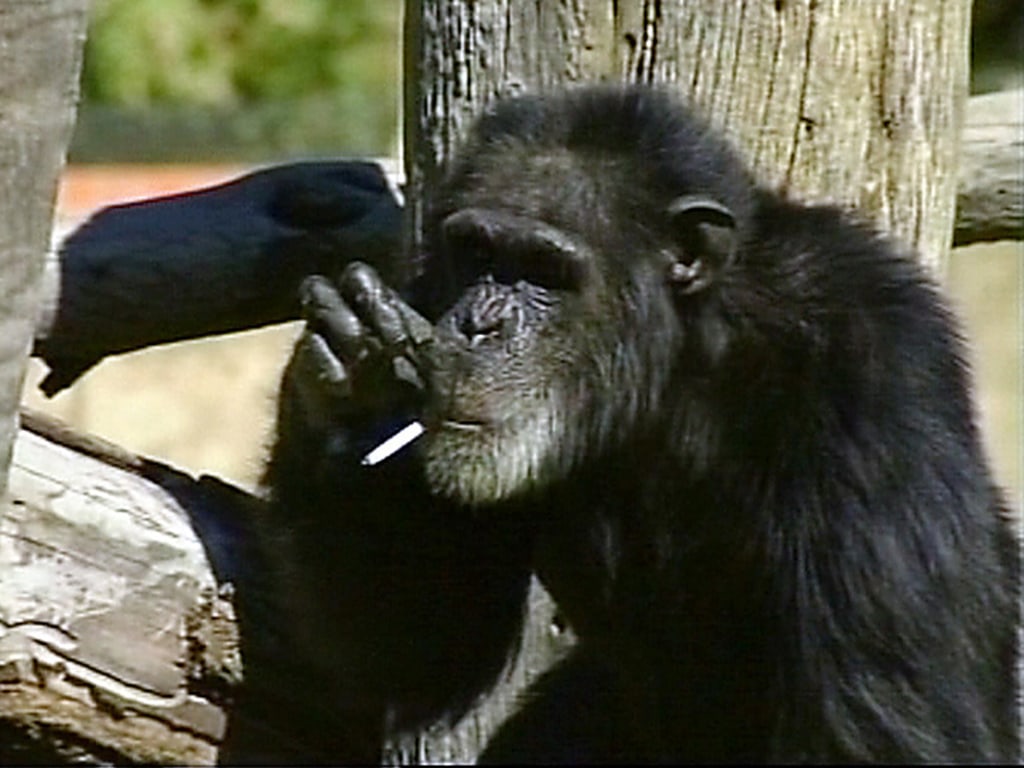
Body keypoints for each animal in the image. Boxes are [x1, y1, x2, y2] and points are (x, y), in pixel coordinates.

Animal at [260, 85, 1019, 763]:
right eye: (477, 253)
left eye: (544, 269)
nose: (477, 324)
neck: (679, 361)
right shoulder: (423, 291)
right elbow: (423, 646)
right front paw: (356, 386)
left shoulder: (871, 374)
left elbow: (878, 724)